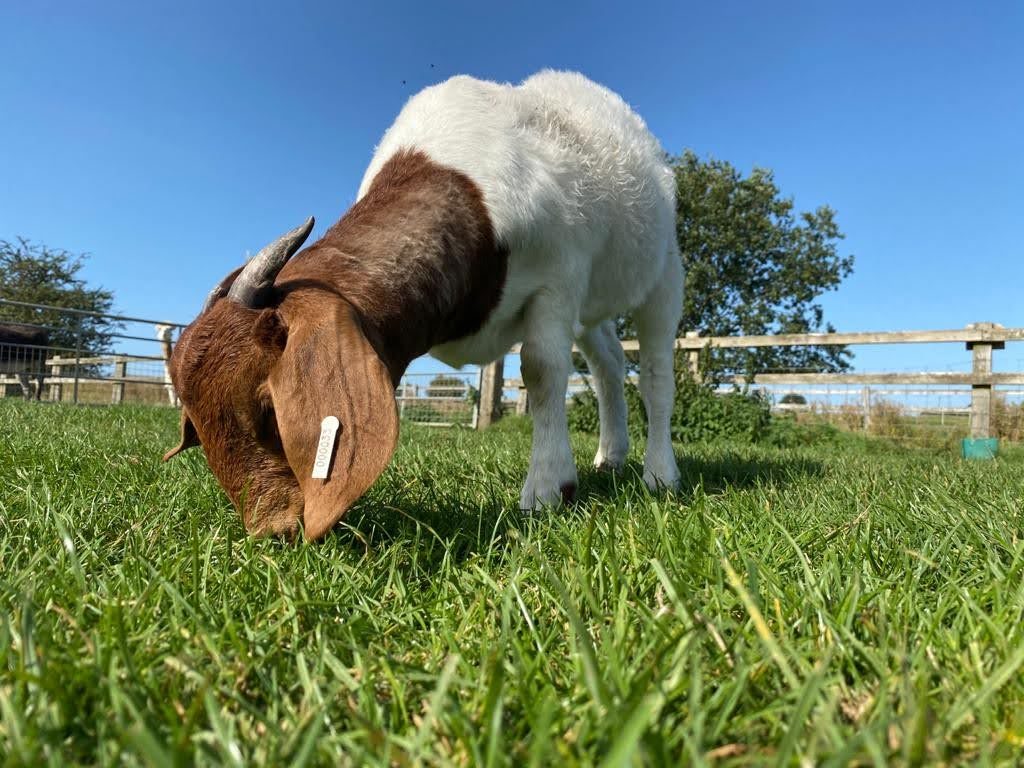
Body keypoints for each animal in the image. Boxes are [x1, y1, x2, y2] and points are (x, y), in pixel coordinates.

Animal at [165, 70, 683, 540]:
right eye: (197, 425)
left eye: (271, 411)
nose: (272, 531)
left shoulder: (559, 281)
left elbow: (541, 370)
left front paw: (547, 486)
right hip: (594, 309)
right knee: (608, 364)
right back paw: (610, 456)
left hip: (664, 272)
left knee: (656, 373)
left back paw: (660, 473)